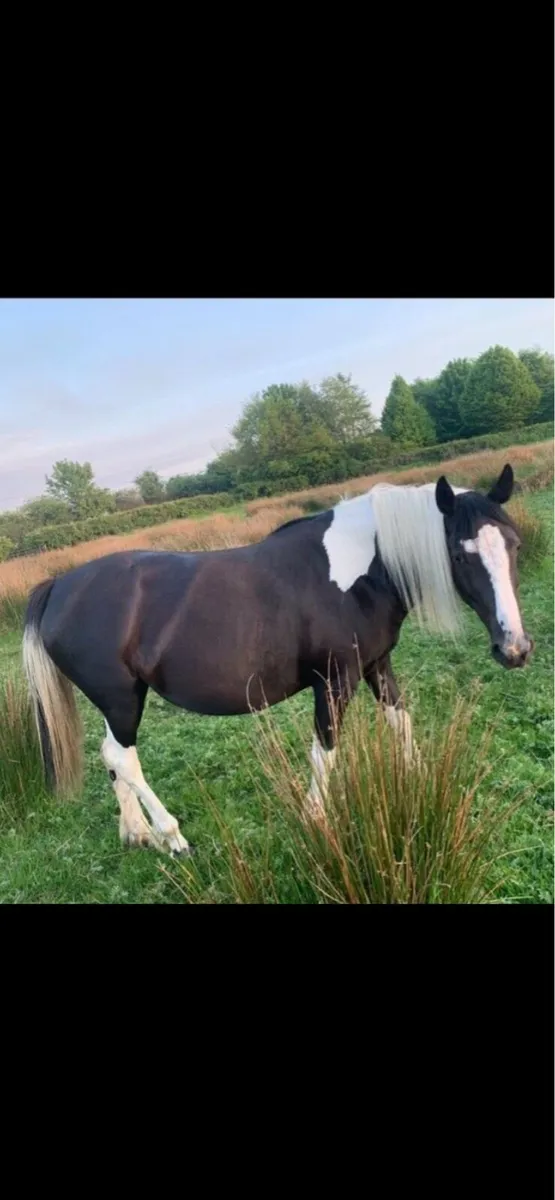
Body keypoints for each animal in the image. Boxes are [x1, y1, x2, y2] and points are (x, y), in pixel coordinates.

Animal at [22, 463, 533, 856]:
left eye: (514, 544)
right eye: (459, 555)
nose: (514, 648)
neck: (360, 570)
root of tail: (60, 585)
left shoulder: (376, 666)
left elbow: (400, 723)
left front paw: (428, 784)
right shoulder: (335, 680)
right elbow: (325, 750)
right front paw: (315, 821)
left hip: (116, 702)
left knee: (112, 755)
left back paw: (137, 833)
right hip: (123, 699)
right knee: (123, 758)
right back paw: (171, 836)